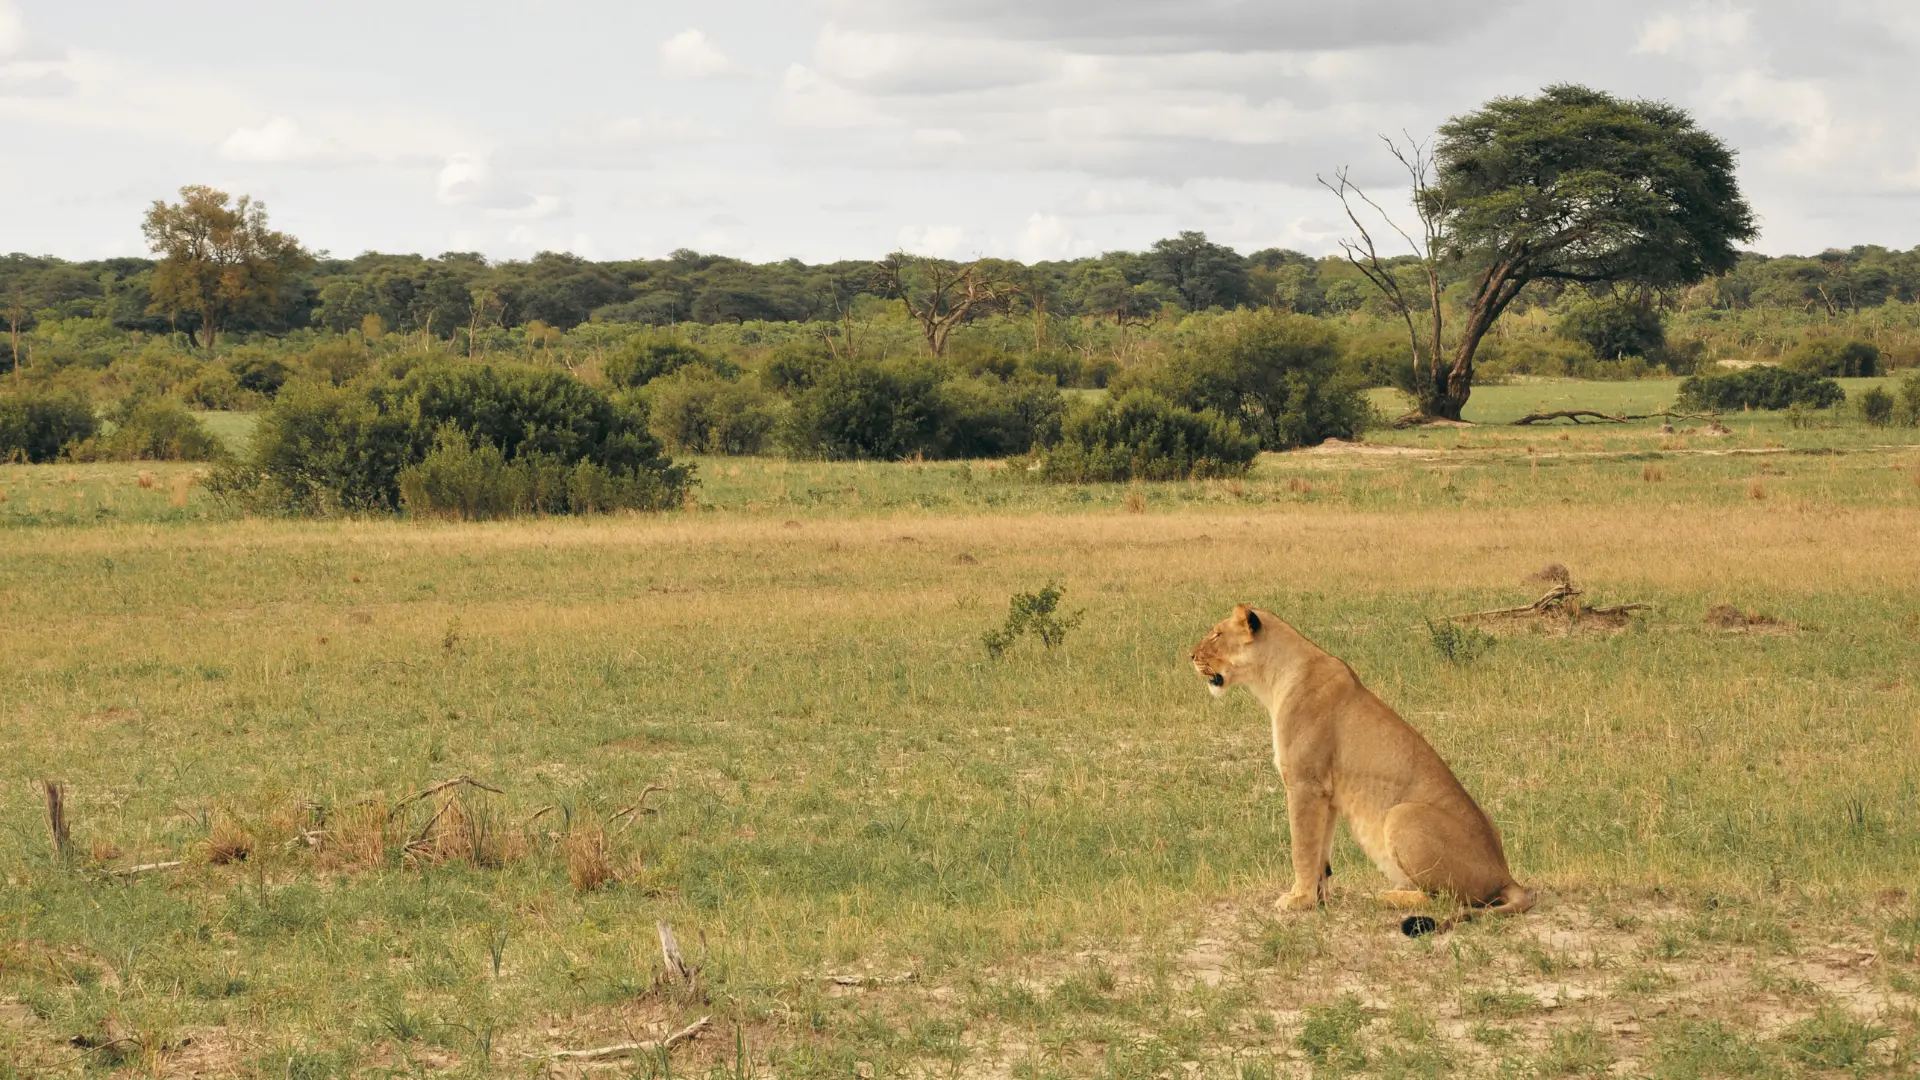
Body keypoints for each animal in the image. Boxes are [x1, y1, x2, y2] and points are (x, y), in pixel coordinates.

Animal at [1191, 604, 1533, 935]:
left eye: (1217, 634)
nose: (1191, 656)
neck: (1272, 679)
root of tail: (1506, 875)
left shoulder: (1304, 783)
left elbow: (1302, 847)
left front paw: (1298, 899)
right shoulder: (1325, 793)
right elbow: (1321, 851)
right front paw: (1319, 898)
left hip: (1402, 814)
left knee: (1447, 899)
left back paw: (1388, 896)